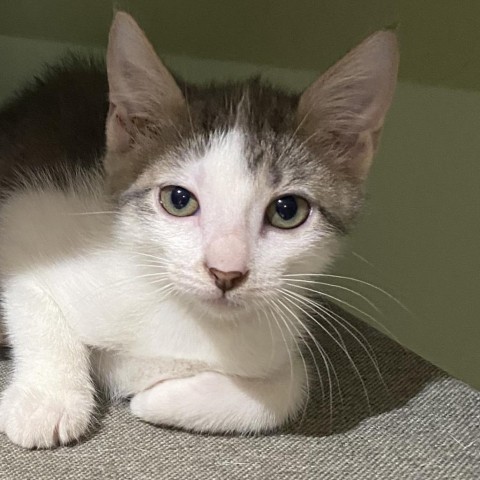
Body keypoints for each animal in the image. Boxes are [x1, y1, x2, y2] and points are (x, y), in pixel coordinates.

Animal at [0, 11, 398, 448]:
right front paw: (49, 399)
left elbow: (291, 386)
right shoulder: (28, 219)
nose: (226, 273)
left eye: (288, 210)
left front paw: (154, 398)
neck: (185, 316)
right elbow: (33, 297)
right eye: (178, 200)